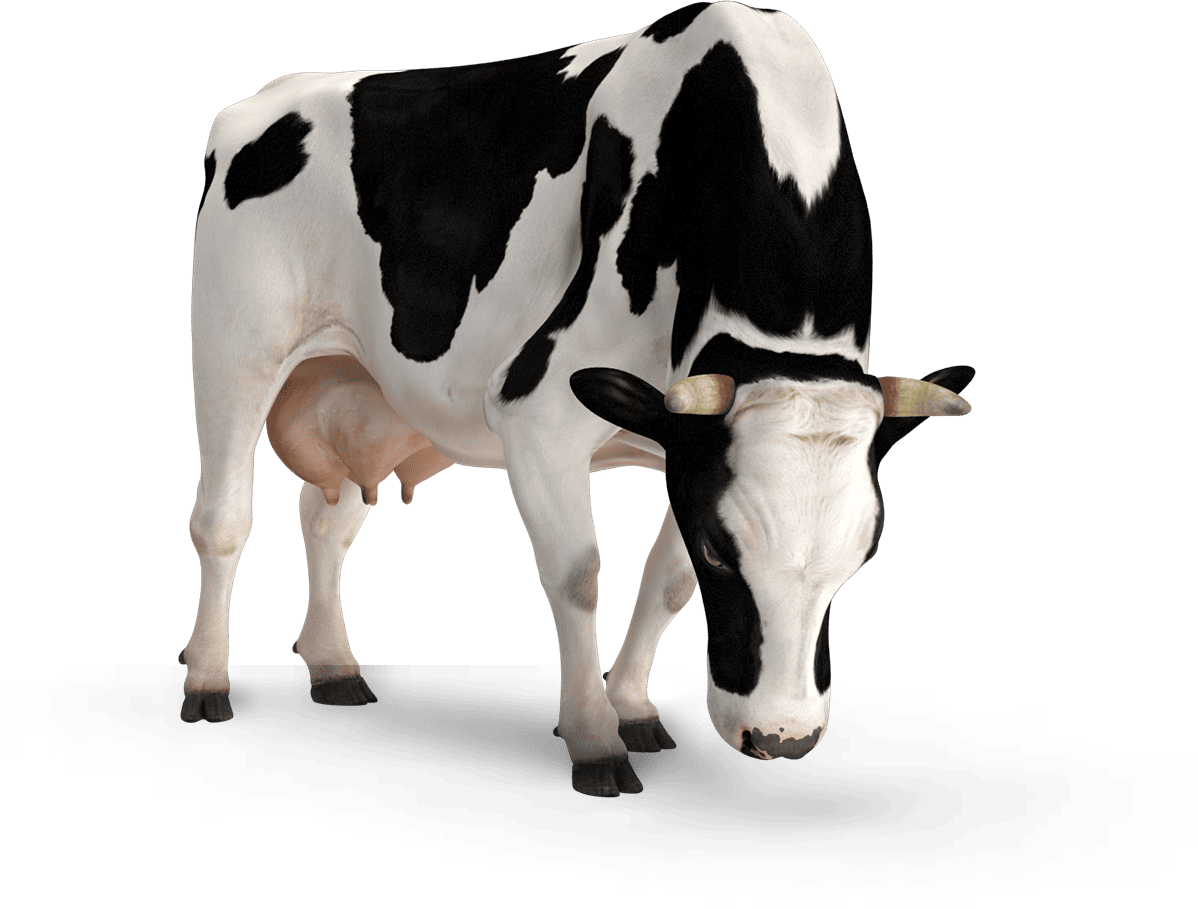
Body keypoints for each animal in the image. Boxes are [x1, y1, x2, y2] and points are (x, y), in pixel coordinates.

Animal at [182, 0, 975, 797]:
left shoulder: (684, 439)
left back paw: (334, 666)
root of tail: (260, 102)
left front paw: (632, 709)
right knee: (223, 520)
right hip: (235, 346)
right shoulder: (539, 410)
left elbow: (665, 580)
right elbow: (577, 572)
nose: (781, 739)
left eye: (863, 555)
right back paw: (207, 680)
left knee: (327, 517)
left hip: (360, 390)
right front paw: (594, 738)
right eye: (722, 553)